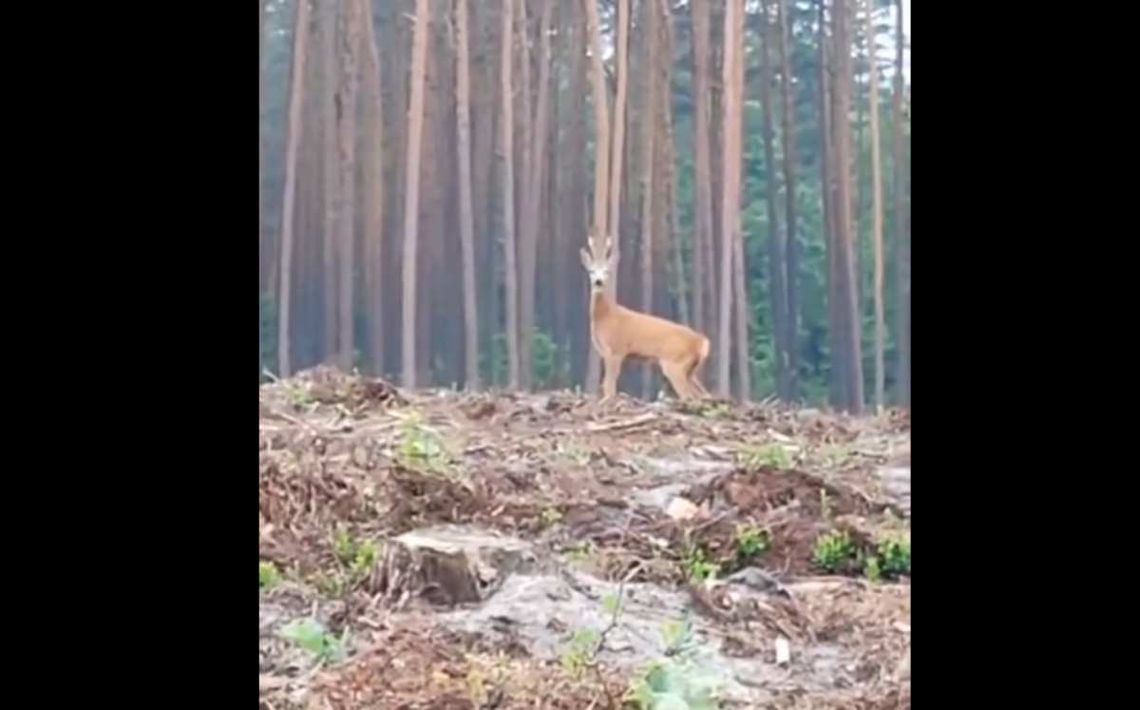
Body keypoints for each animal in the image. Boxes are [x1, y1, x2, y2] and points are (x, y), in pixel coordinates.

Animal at [579, 233, 711, 401]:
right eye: (591, 271)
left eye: (607, 271)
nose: (598, 282)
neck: (605, 317)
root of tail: (701, 342)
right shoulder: (605, 352)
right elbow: (606, 385)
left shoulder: (617, 349)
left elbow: (609, 386)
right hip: (690, 369)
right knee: (704, 393)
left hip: (675, 363)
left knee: (688, 395)